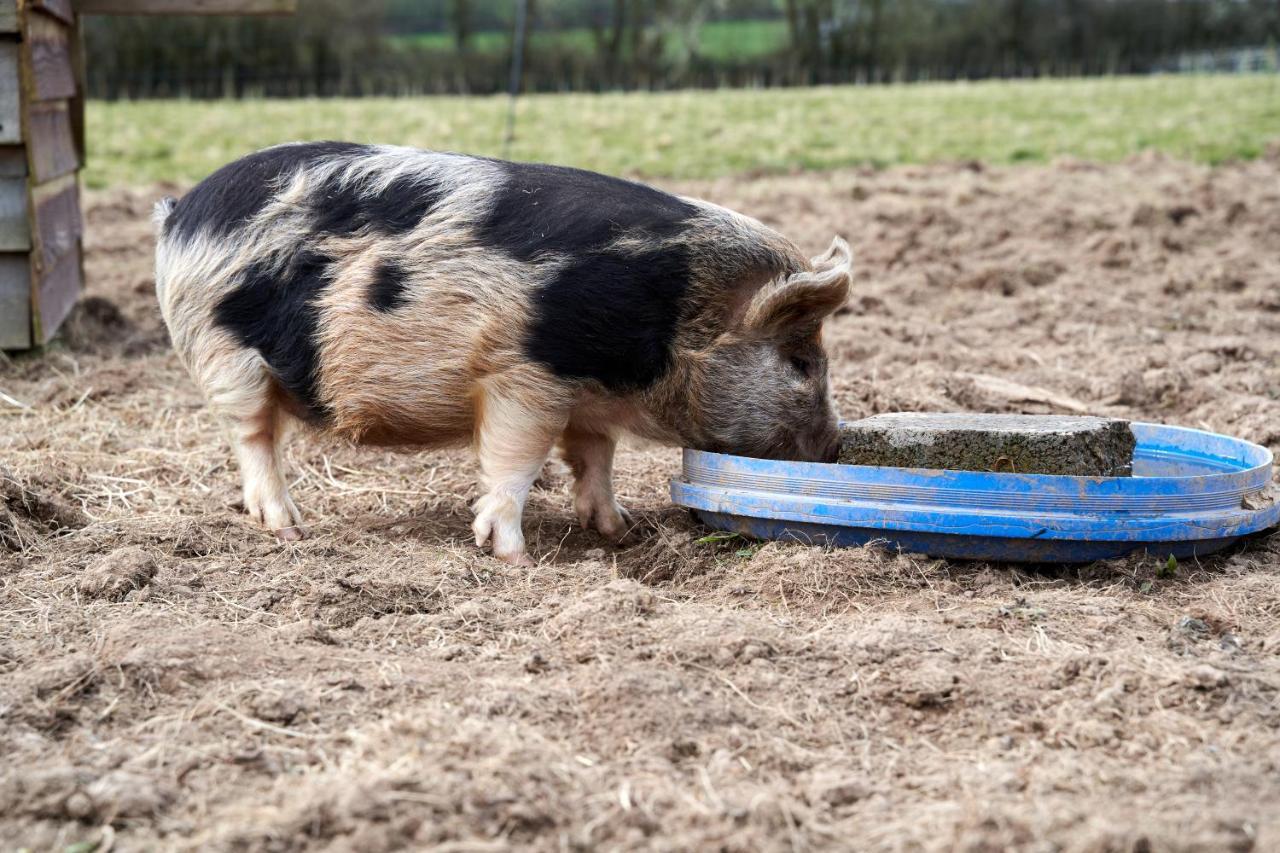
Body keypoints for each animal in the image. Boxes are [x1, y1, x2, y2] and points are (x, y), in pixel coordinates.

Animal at [152, 140, 849, 563]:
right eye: (801, 363)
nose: (835, 446)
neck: (676, 309)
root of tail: (181, 211)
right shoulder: (525, 376)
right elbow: (515, 460)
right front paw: (515, 556)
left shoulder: (587, 397)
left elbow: (594, 457)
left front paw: (618, 530)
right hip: (225, 355)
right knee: (253, 438)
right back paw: (289, 526)